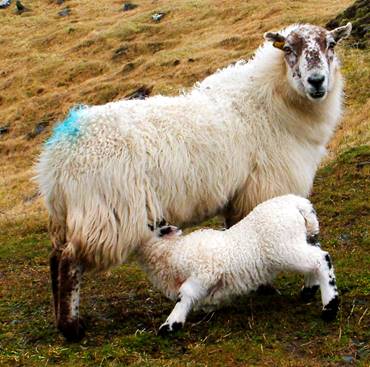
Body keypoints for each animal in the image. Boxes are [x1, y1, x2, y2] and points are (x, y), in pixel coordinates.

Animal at [139, 197, 342, 334]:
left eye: (151, 225)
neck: (173, 251)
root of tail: (298, 204)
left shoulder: (206, 271)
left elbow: (186, 293)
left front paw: (170, 324)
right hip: (302, 240)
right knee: (315, 258)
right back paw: (309, 290)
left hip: (284, 248)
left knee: (321, 259)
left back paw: (330, 307)